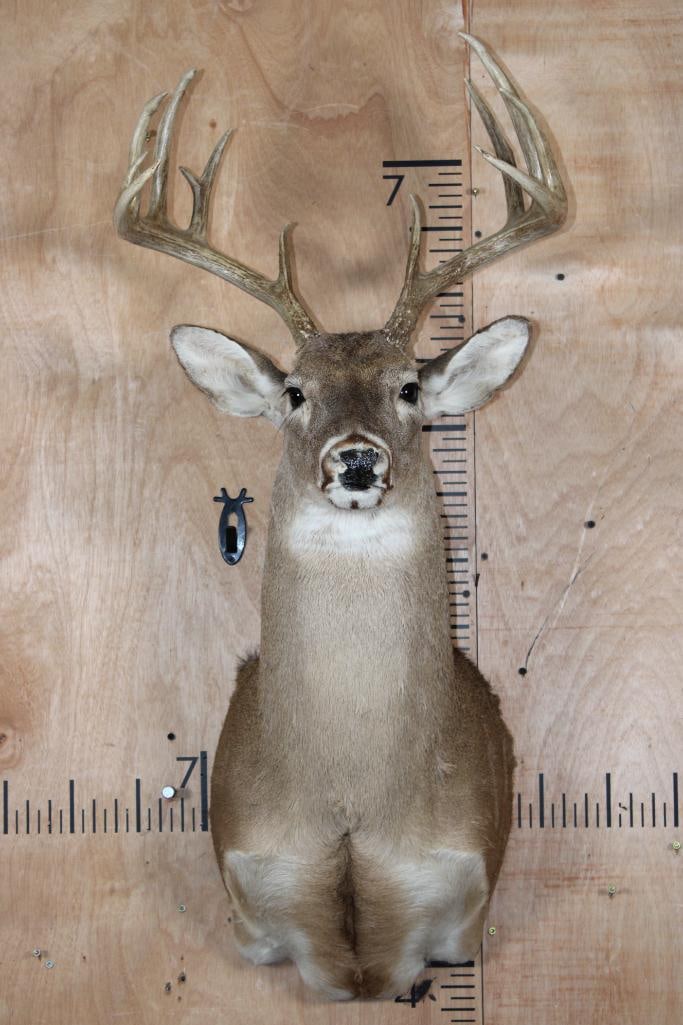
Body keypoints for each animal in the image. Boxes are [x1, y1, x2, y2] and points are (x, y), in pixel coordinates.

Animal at [114, 34, 566, 1000]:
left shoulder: (462, 904)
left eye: (409, 389)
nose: (355, 460)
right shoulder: (253, 906)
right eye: (293, 391)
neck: (353, 803)